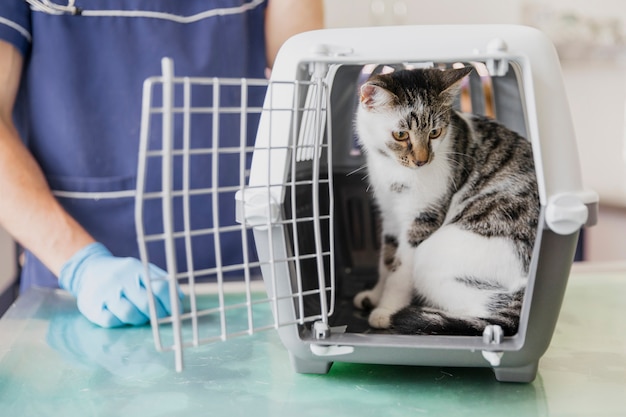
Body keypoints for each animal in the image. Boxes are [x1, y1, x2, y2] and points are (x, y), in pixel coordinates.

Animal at [354, 66, 540, 336]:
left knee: (486, 309)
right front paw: (375, 295)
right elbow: (386, 260)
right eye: (400, 135)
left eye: (435, 133)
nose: (422, 160)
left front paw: (386, 309)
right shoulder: (389, 215)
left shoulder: (423, 218)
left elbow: (400, 271)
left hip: (432, 256)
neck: (394, 171)